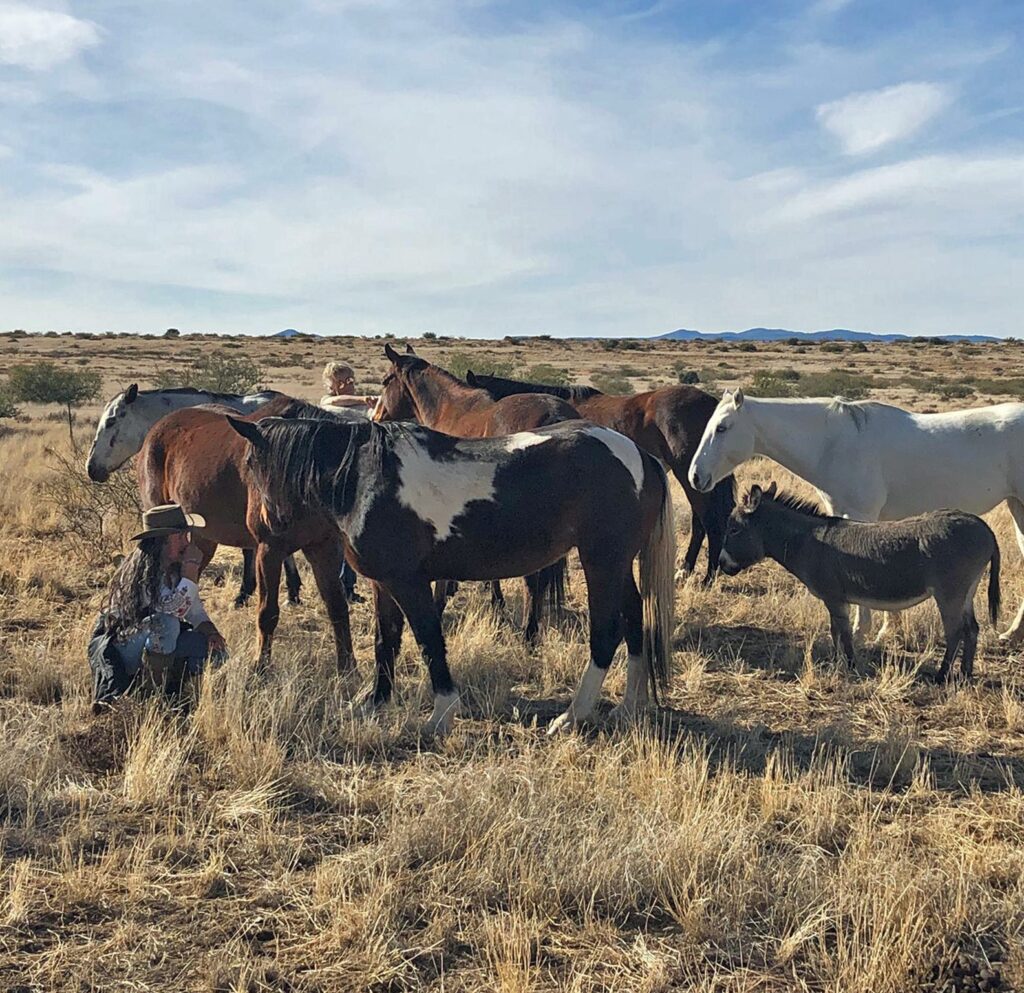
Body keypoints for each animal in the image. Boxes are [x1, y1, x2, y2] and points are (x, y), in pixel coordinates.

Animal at [137, 396, 363, 672]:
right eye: (250, 464)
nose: (273, 517)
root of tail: (156, 430)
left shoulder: (323, 546)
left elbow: (337, 606)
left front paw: (348, 667)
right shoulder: (270, 550)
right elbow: (268, 613)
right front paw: (261, 666)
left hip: (201, 539)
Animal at [227, 414, 677, 735]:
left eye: (251, 464)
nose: (267, 526)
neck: (366, 479)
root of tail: (642, 457)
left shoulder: (408, 582)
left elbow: (428, 640)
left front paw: (441, 714)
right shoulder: (382, 584)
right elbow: (385, 640)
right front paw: (374, 700)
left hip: (601, 561)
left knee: (606, 632)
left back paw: (572, 716)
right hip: (618, 564)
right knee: (634, 620)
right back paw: (629, 706)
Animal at [688, 389, 1024, 642]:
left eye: (722, 427)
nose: (695, 476)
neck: (833, 443)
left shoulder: (861, 514)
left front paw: (863, 632)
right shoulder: (842, 513)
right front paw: (888, 629)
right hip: (1017, 507)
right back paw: (1013, 633)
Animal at [720, 482, 1001, 681]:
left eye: (733, 530)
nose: (721, 564)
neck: (808, 541)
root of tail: (983, 527)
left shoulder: (834, 598)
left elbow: (843, 633)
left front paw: (849, 665)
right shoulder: (836, 599)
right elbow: (836, 631)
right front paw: (838, 663)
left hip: (949, 592)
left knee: (955, 631)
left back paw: (942, 676)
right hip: (967, 591)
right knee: (972, 629)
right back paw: (965, 674)